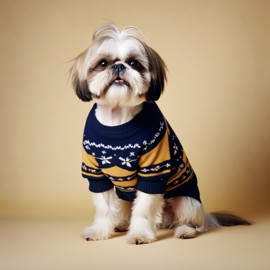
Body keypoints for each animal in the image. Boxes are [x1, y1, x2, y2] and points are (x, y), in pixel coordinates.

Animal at [70, 23, 251, 245]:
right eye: (103, 63)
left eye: (134, 63)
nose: (120, 66)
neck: (118, 117)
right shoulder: (96, 174)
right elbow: (104, 209)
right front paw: (99, 231)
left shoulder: (153, 173)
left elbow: (143, 210)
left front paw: (139, 234)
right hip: (123, 199)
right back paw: (121, 224)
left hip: (187, 202)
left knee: (190, 222)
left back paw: (185, 230)